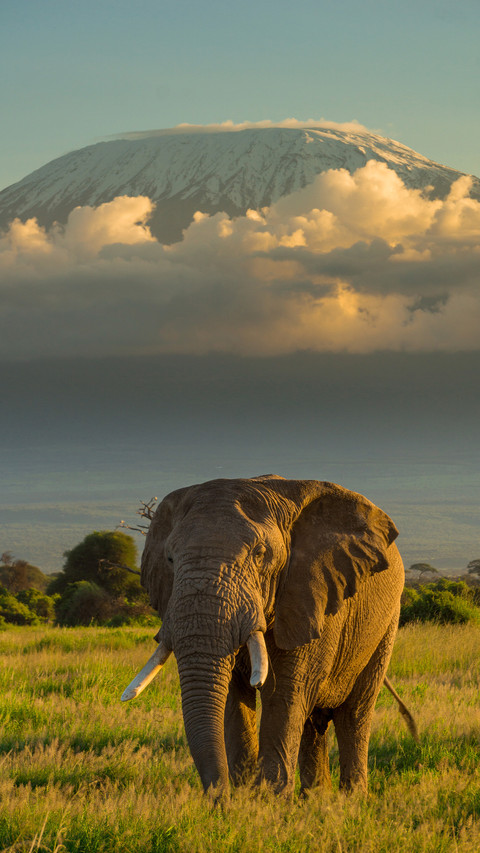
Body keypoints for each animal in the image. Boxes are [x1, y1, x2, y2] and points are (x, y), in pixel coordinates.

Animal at [121, 475, 416, 796]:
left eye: (260, 555)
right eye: (170, 559)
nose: (220, 799)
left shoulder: (313, 594)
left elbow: (284, 690)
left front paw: (269, 799)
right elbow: (234, 693)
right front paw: (245, 795)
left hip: (386, 624)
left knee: (354, 712)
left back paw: (350, 800)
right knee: (314, 721)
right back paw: (316, 798)